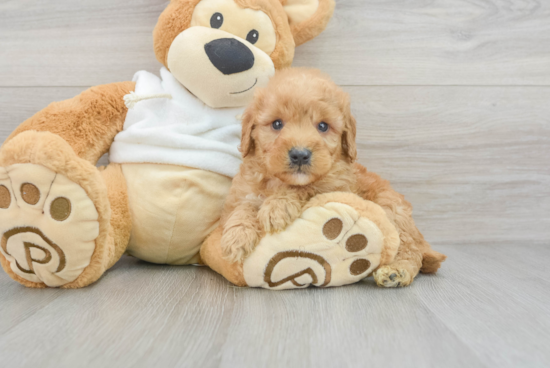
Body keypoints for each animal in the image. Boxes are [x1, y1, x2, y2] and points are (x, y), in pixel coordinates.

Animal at [213, 68, 446, 288]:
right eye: (277, 124)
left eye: (323, 126)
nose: (300, 155)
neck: (279, 181)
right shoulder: (242, 191)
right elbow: (243, 205)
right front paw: (237, 237)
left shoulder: (335, 186)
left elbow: (305, 188)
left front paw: (277, 207)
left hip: (392, 212)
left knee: (410, 251)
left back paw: (396, 272)